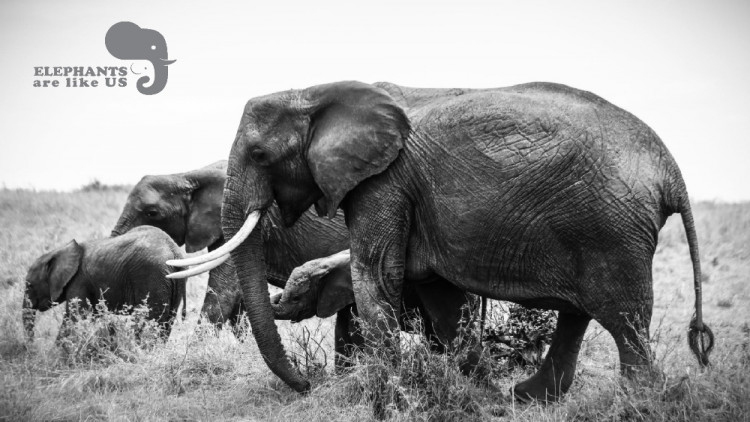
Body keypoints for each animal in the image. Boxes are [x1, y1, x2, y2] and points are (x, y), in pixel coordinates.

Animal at [23, 226, 187, 340]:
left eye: (29, 285)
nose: (32, 347)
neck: (58, 252)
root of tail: (173, 251)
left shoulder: (79, 281)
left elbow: (75, 318)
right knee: (166, 322)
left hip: (151, 274)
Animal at [178, 80, 714, 402]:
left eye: (259, 154)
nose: (308, 384)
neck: (314, 92)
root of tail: (672, 172)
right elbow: (437, 294)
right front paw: (472, 388)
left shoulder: (384, 183)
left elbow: (376, 274)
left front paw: (388, 392)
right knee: (580, 313)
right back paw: (526, 397)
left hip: (611, 229)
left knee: (623, 317)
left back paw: (636, 401)